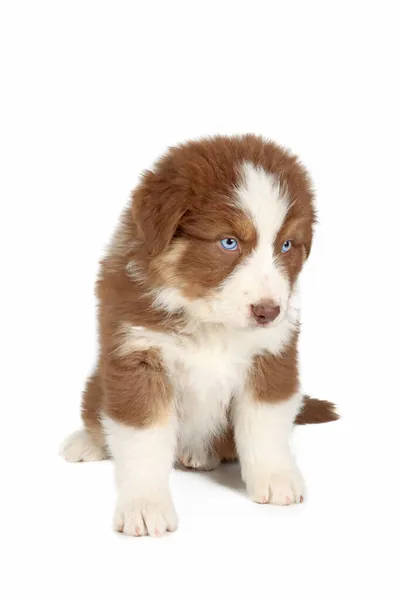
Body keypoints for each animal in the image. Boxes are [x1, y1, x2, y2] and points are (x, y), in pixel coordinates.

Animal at [61, 135, 338, 536]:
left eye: (287, 245)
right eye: (228, 242)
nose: (268, 311)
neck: (210, 321)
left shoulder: (272, 356)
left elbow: (266, 423)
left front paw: (276, 478)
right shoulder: (136, 356)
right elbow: (142, 437)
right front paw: (145, 505)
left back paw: (200, 454)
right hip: (97, 382)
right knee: (96, 414)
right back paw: (87, 442)